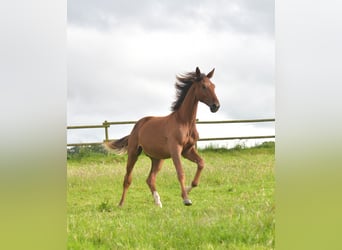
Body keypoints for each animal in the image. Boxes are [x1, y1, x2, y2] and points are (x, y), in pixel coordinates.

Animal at [105, 67, 219, 207]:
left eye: (213, 86)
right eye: (203, 86)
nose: (216, 106)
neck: (184, 122)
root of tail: (137, 126)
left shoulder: (187, 151)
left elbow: (201, 164)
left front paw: (187, 190)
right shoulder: (176, 150)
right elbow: (180, 172)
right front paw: (186, 199)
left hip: (157, 159)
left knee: (150, 179)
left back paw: (158, 203)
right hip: (133, 153)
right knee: (127, 178)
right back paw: (121, 204)